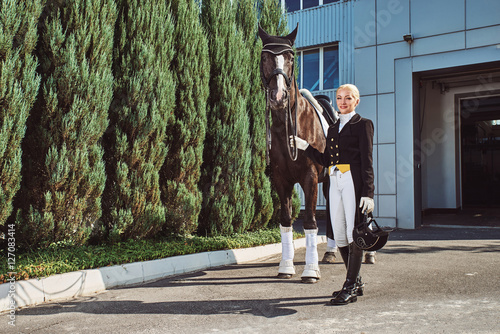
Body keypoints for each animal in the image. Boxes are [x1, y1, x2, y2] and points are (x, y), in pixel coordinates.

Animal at [258, 24, 336, 284]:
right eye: (265, 57)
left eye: (291, 58)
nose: (278, 96)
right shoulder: (281, 180)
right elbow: (285, 220)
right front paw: (286, 266)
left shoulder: (309, 178)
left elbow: (310, 221)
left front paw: (310, 270)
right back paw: (331, 252)